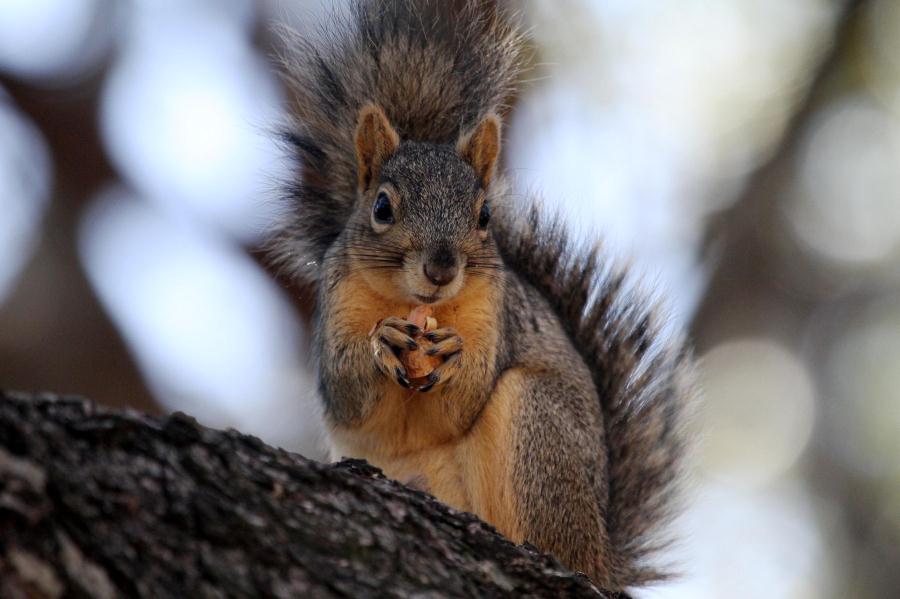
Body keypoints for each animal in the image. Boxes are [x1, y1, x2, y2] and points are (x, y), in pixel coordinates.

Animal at [270, 0, 692, 592]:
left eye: (484, 215)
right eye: (381, 207)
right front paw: (382, 341)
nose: (442, 267)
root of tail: (603, 556)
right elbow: (347, 393)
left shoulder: (494, 312)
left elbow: (462, 402)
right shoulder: (336, 305)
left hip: (538, 428)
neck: (417, 303)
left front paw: (454, 356)